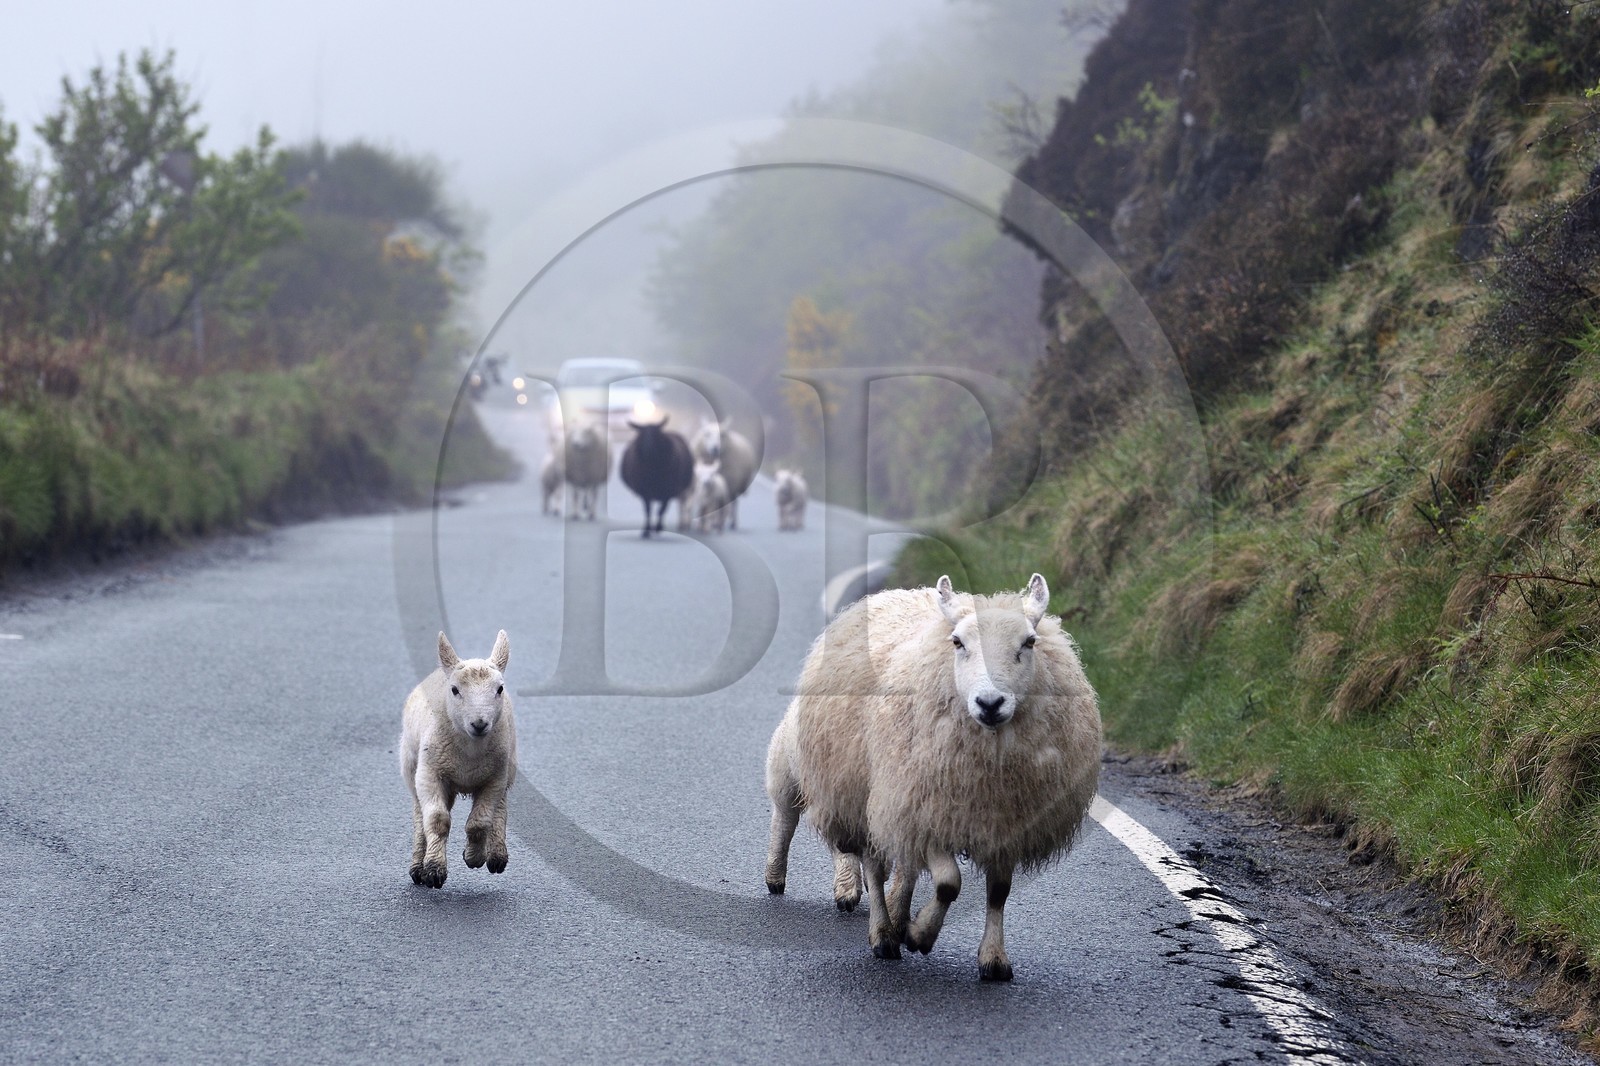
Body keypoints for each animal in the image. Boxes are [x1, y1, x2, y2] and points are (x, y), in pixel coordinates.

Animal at [400, 630, 517, 889]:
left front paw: (474, 857)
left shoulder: (494, 778)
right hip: (412, 770)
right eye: (454, 690)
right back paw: (417, 866)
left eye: (500, 689)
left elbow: (479, 823)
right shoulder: (429, 774)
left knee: (500, 807)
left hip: (508, 767)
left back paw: (497, 855)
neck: (470, 752)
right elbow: (437, 820)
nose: (479, 723)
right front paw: (434, 870)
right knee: (419, 816)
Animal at [763, 573, 1101, 981]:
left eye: (1029, 642)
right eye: (958, 642)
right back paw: (871, 927)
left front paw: (993, 958)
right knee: (819, 835)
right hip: (860, 789)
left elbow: (998, 891)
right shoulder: (927, 811)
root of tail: (898, 593)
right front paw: (920, 935)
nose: (990, 703)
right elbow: (948, 883)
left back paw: (892, 911)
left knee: (891, 865)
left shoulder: (1005, 822)